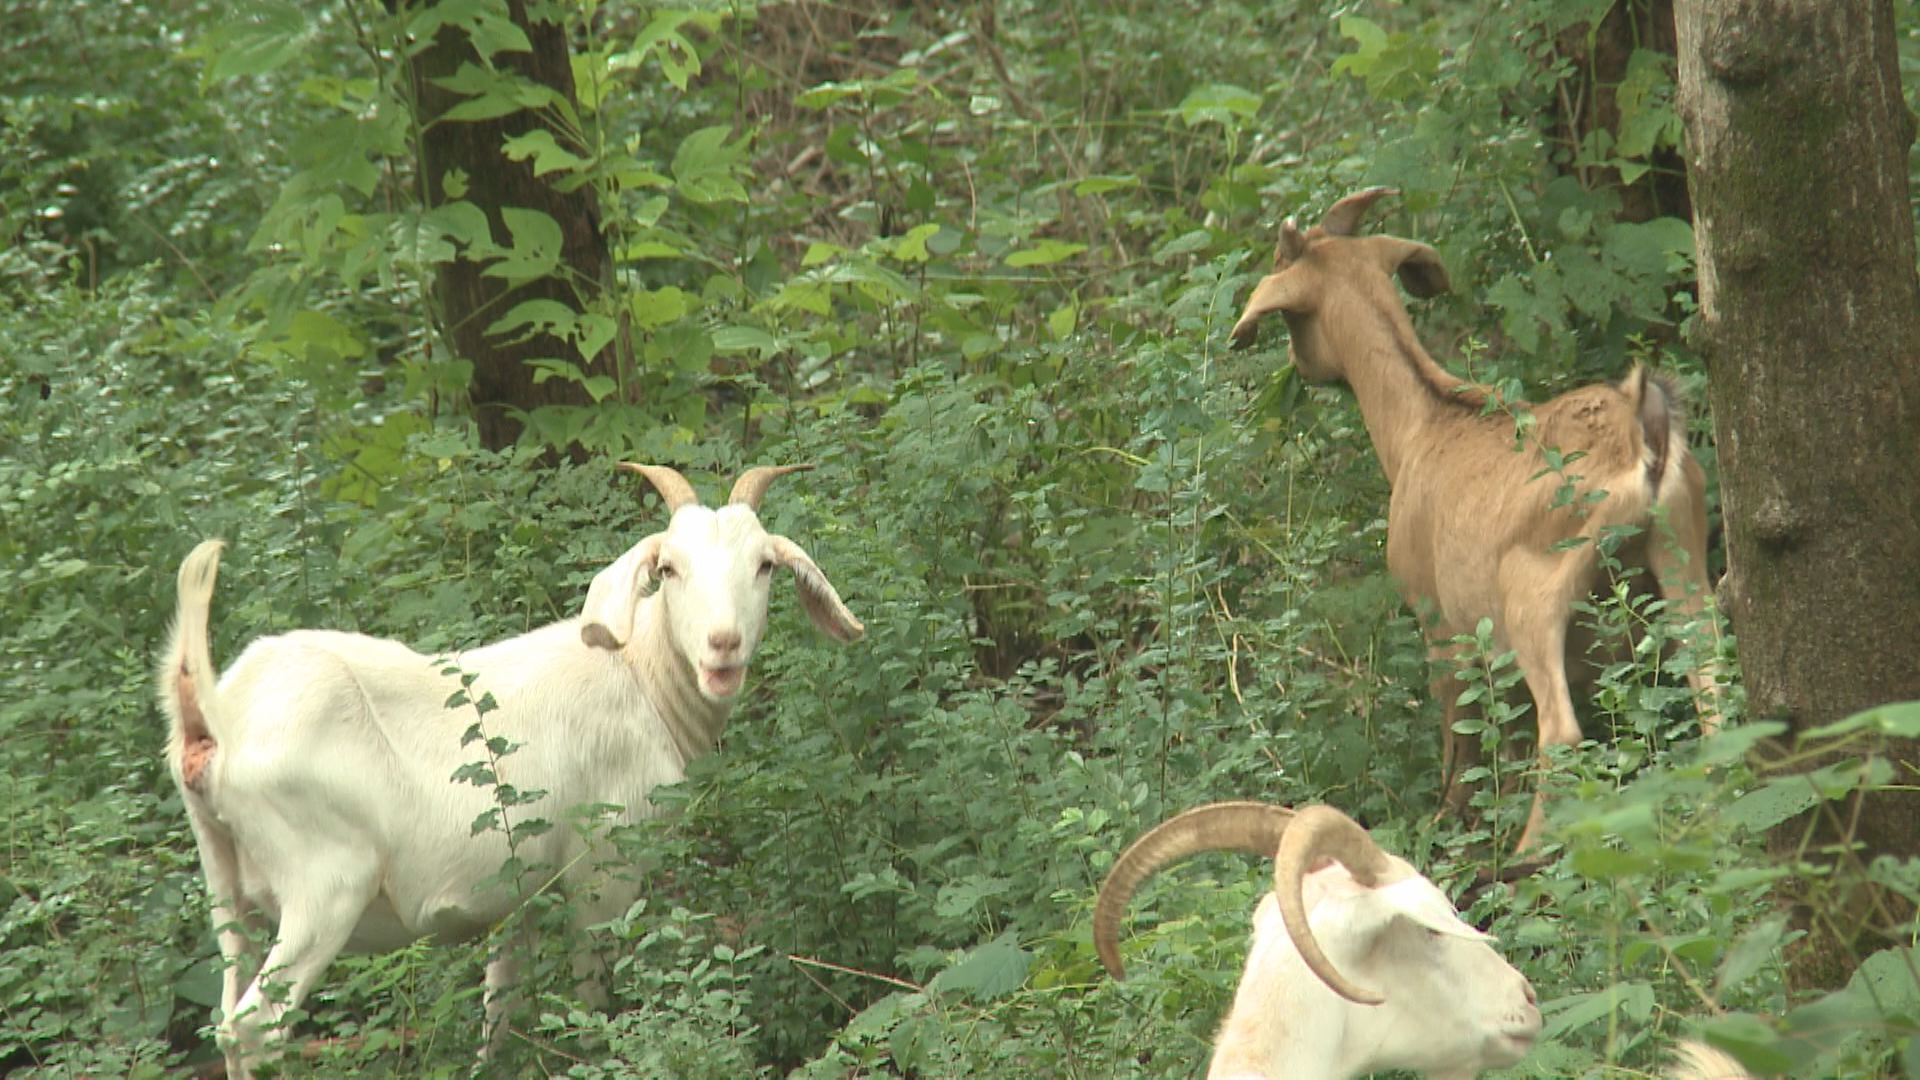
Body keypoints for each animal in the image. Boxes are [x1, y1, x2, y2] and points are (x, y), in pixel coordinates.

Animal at [158, 463, 864, 1078]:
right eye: (668, 568)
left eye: (765, 565)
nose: (723, 646)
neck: (640, 678)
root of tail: (214, 715)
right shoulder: (603, 863)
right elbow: (591, 989)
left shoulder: (524, 887)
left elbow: (502, 1003)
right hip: (325, 884)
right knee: (254, 1028)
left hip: (227, 889)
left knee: (225, 1012)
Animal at [1229, 188, 1723, 853]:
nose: (1295, 363)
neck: (1423, 424)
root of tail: (1645, 444)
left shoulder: (1439, 620)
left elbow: (1460, 735)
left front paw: (1446, 824)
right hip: (1682, 554)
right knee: (1711, 680)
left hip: (1533, 593)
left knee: (1561, 732)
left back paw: (1527, 859)